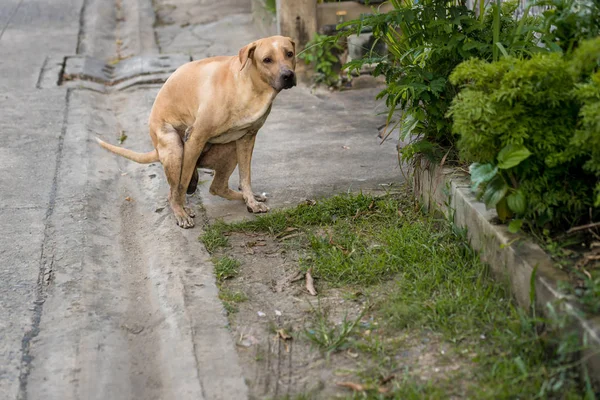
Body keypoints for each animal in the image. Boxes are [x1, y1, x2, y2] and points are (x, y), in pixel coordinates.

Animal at [96, 35, 298, 228]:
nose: (288, 76)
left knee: (217, 187)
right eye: (267, 60)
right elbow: (182, 184)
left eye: (289, 54)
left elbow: (245, 177)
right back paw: (180, 209)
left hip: (231, 149)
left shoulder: (247, 139)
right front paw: (182, 211)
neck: (251, 87)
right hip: (175, 148)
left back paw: (248, 197)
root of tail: (156, 149)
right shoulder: (195, 138)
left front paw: (251, 201)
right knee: (174, 191)